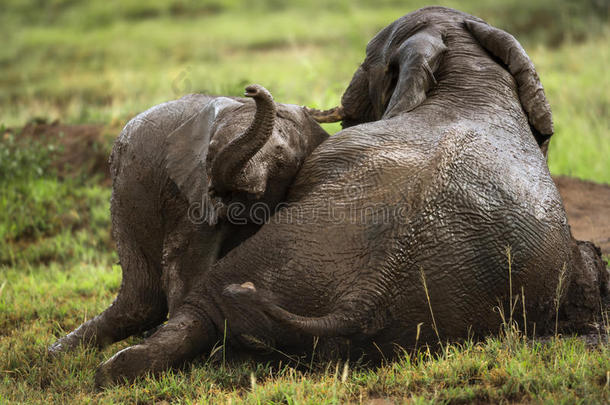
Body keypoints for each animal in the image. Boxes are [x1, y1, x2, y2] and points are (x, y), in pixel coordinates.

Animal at [48, 83, 328, 350]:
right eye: (210, 152)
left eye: (281, 159)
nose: (251, 89)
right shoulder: (188, 189)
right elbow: (187, 262)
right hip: (126, 189)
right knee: (143, 298)